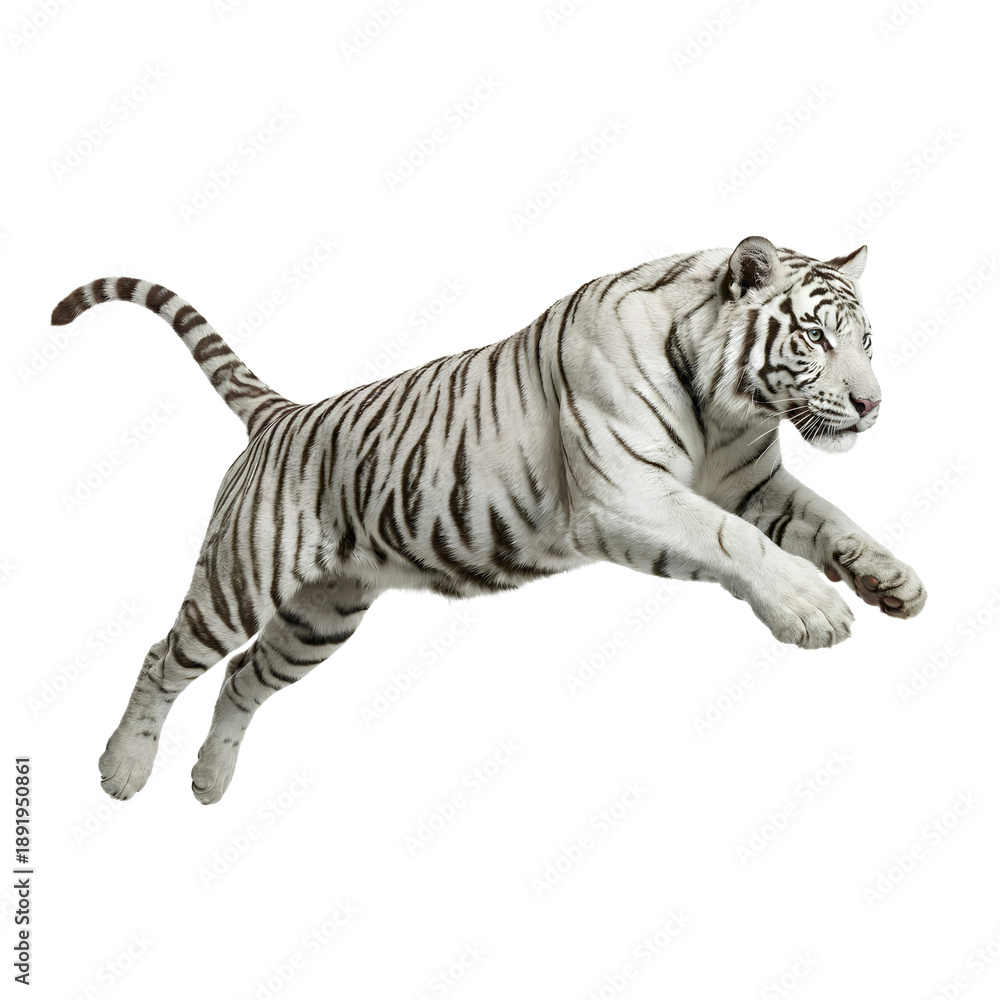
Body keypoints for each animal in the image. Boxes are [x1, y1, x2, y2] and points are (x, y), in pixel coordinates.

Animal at [52, 235, 926, 804]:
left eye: (867, 340)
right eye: (816, 337)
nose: (872, 405)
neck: (729, 407)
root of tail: (282, 414)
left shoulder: (754, 484)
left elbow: (829, 519)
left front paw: (893, 581)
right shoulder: (627, 494)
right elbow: (733, 540)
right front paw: (813, 610)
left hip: (320, 619)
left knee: (241, 679)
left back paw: (209, 780)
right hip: (242, 578)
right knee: (164, 657)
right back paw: (122, 770)